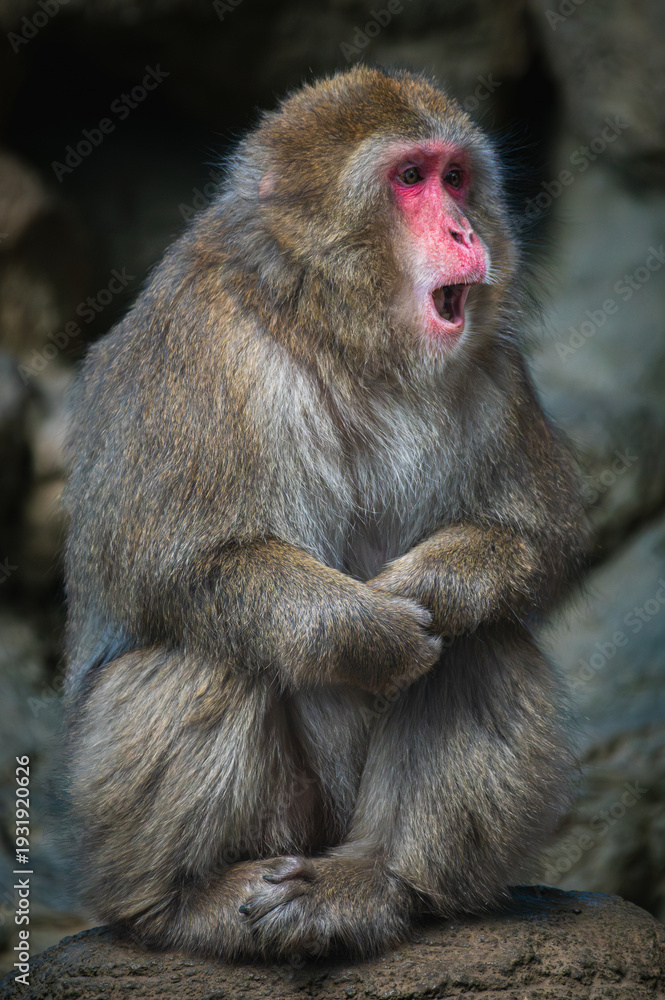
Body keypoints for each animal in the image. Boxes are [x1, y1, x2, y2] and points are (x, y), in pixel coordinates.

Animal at [62, 66, 587, 962]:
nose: (462, 229)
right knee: (209, 649)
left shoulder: (494, 367)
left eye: (455, 177)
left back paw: (377, 884)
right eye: (408, 178)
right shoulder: (202, 346)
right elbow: (169, 560)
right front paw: (367, 632)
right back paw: (183, 903)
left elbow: (535, 538)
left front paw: (434, 590)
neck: (341, 336)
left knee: (482, 643)